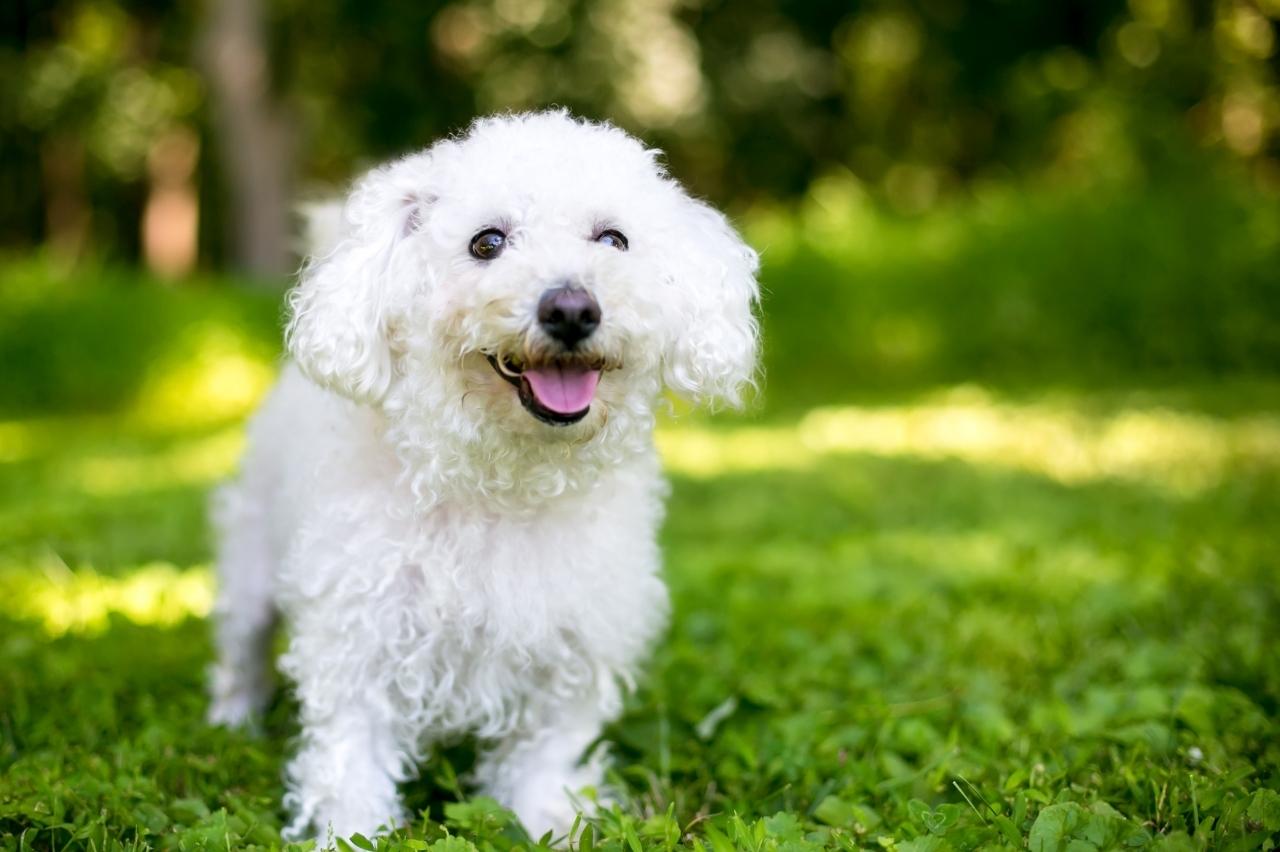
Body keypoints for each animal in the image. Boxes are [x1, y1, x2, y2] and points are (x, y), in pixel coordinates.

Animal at [203, 109, 752, 839]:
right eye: (487, 242)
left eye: (614, 240)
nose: (571, 308)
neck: (506, 481)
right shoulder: (359, 641)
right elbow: (350, 763)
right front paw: (350, 835)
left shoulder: (569, 650)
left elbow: (546, 757)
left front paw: (549, 820)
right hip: (250, 568)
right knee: (241, 652)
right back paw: (231, 720)